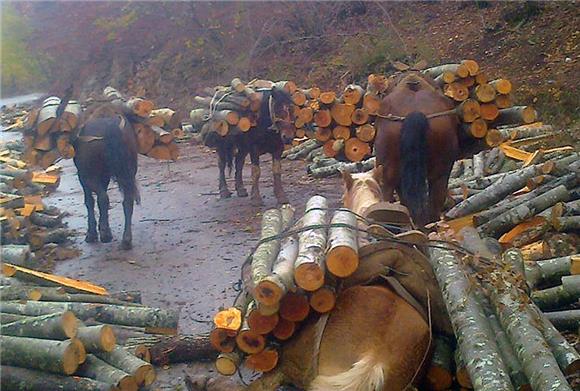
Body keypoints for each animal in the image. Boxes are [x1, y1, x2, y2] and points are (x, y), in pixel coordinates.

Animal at [73, 104, 140, 251]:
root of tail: (110, 129)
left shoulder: (84, 177)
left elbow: (90, 201)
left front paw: (91, 234)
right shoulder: (105, 176)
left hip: (88, 176)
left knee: (103, 198)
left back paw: (105, 234)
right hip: (126, 173)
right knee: (127, 201)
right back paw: (126, 240)